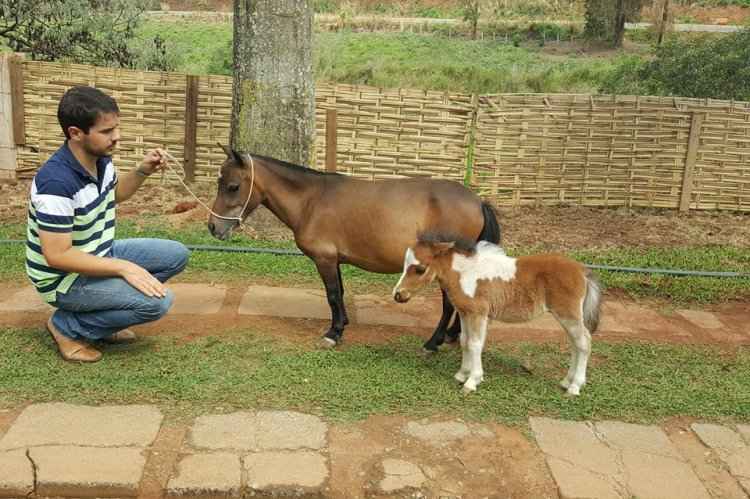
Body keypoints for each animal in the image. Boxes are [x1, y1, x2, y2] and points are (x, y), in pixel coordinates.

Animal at [209, 146, 502, 352]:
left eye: (233, 186)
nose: (213, 227)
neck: (311, 200)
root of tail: (478, 201)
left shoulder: (324, 260)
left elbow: (332, 295)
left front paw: (333, 334)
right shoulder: (334, 259)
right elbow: (339, 293)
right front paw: (342, 325)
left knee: (450, 303)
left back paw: (434, 342)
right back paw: (452, 335)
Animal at [396, 236, 604, 396]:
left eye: (420, 269)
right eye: (405, 266)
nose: (398, 295)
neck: (465, 273)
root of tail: (582, 270)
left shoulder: (478, 313)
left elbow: (475, 344)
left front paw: (472, 381)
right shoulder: (465, 313)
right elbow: (464, 341)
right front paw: (462, 374)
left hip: (568, 315)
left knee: (583, 343)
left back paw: (575, 386)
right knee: (575, 344)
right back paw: (566, 381)